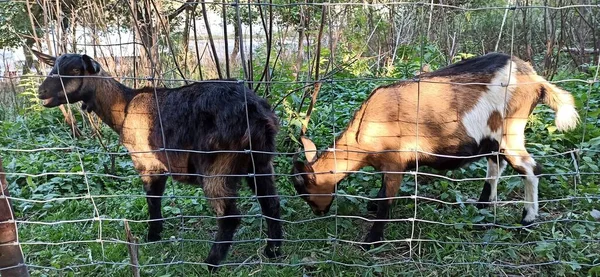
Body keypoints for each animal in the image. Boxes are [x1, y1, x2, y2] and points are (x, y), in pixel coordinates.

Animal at [32, 49, 284, 268]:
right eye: (52, 67)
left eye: (74, 70)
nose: (41, 92)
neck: (123, 107)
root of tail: (256, 113)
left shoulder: (147, 162)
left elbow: (152, 200)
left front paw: (151, 236)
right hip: (259, 160)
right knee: (270, 203)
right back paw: (272, 251)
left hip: (218, 163)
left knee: (229, 216)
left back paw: (210, 263)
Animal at [290, 53, 576, 246]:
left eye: (305, 191)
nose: (318, 212)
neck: (366, 130)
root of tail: (537, 81)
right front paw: (372, 206)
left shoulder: (395, 162)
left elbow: (387, 200)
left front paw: (372, 239)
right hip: (493, 137)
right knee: (497, 165)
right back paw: (484, 204)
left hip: (511, 129)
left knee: (530, 168)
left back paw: (527, 219)